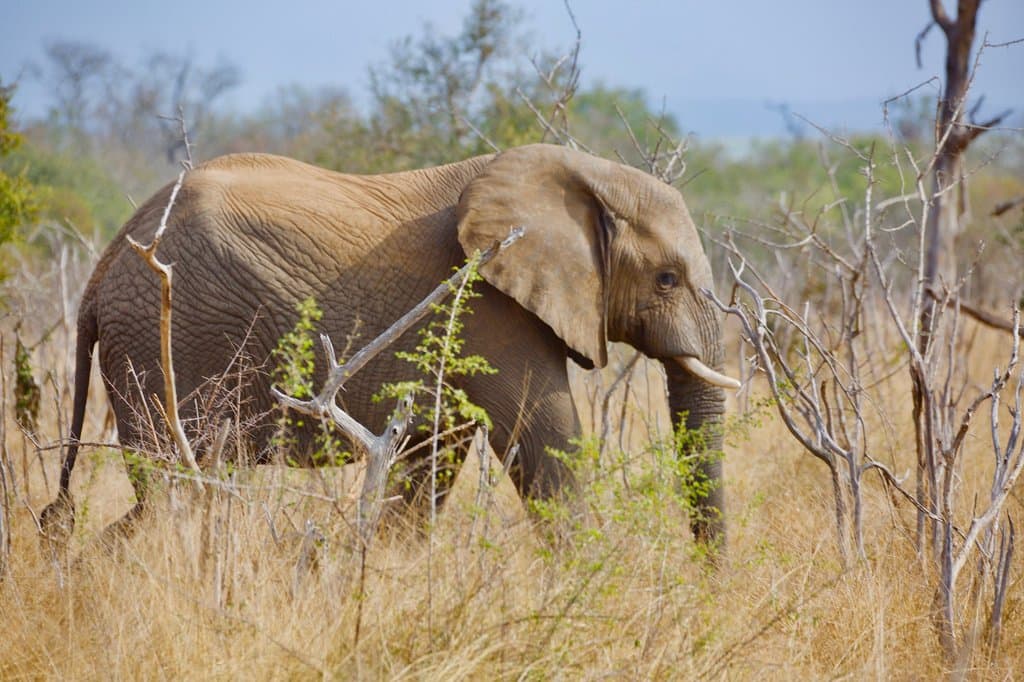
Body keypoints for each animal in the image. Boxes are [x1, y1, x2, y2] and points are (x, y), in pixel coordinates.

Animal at [40, 144, 738, 547]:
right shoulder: (489, 303)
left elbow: (435, 455)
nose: (710, 589)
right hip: (159, 347)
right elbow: (547, 439)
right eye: (667, 279)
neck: (580, 174)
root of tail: (105, 268)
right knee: (171, 492)